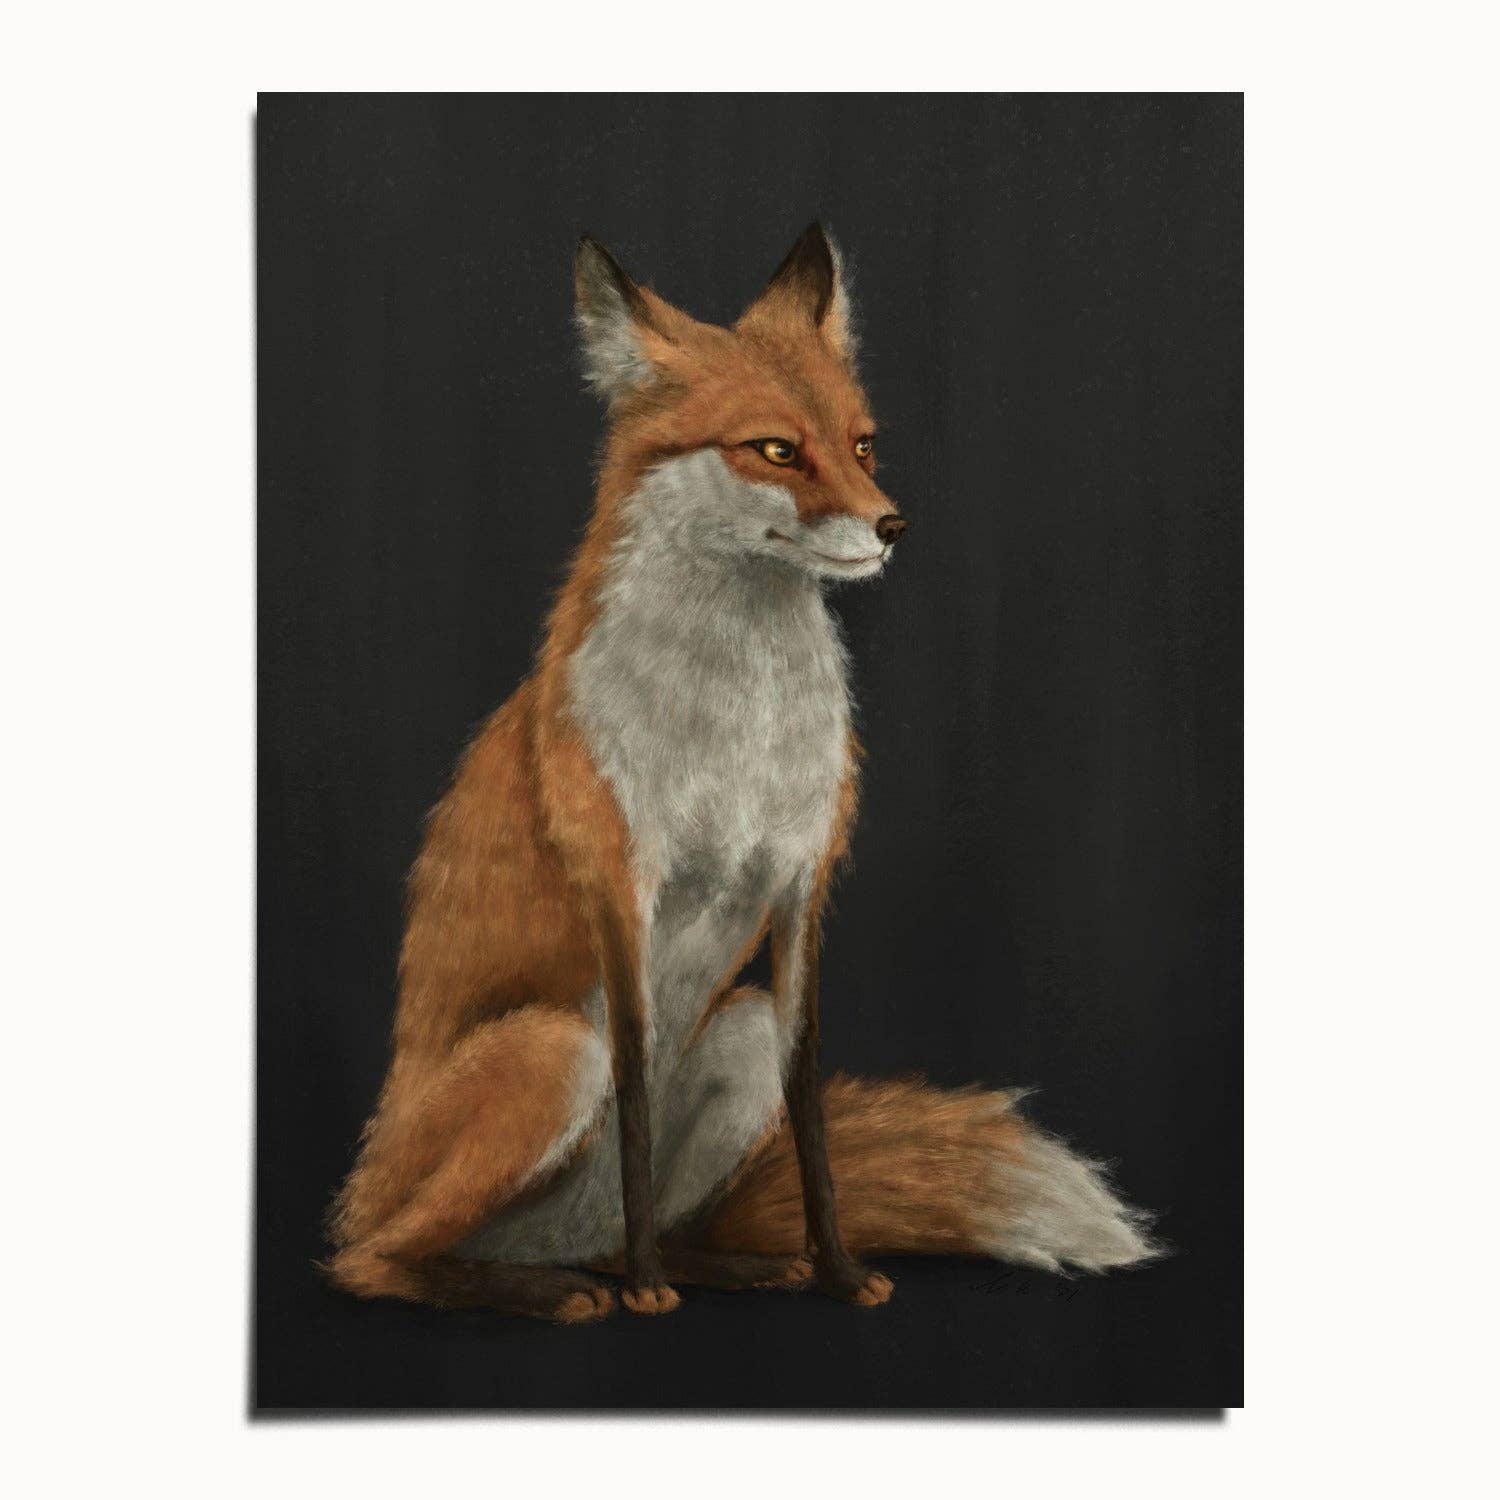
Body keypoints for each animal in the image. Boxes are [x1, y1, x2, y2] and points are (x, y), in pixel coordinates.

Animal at [325, 223, 1156, 1323]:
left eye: (862, 444)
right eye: (774, 449)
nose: (892, 526)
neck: (740, 730)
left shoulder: (803, 885)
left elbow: (810, 1113)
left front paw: (836, 1271)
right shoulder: (622, 886)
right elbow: (636, 1096)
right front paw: (649, 1292)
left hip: (738, 1032)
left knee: (628, 1226)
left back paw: (715, 1265)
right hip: (552, 1050)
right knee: (376, 1260)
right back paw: (559, 1287)